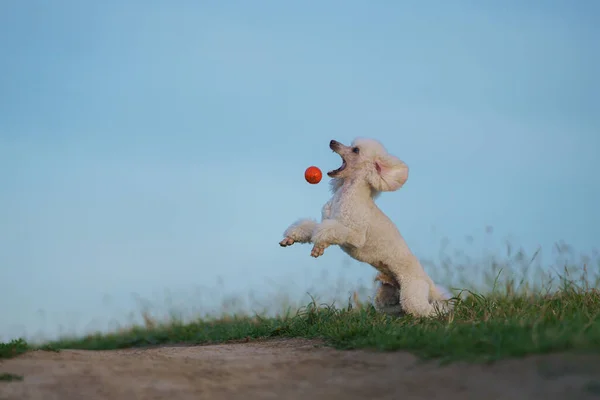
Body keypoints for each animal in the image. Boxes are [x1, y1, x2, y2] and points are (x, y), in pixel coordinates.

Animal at [278, 139, 452, 318]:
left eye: (355, 150)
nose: (332, 142)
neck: (346, 194)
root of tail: (428, 281)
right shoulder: (326, 219)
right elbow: (312, 227)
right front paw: (292, 239)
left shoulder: (355, 235)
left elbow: (331, 231)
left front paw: (318, 245)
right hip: (386, 294)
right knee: (393, 307)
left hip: (412, 290)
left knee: (424, 309)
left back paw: (441, 311)